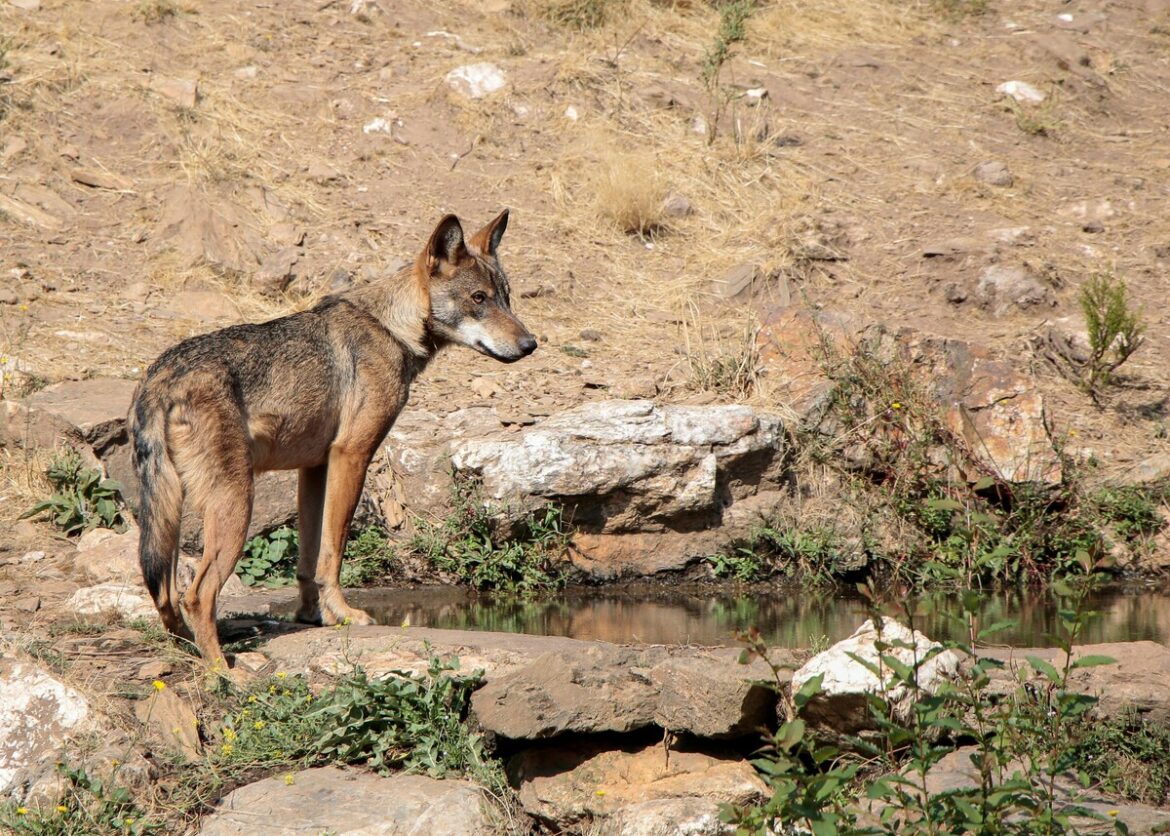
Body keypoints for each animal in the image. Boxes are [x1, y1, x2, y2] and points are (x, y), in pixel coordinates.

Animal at [129, 210, 536, 669]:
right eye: (478, 298)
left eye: (506, 297)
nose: (531, 344)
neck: (391, 328)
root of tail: (160, 379)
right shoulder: (352, 455)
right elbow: (333, 553)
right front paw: (344, 614)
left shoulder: (315, 468)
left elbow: (308, 560)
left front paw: (314, 616)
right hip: (235, 505)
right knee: (196, 595)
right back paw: (226, 673)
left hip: (171, 513)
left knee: (165, 593)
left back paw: (191, 650)